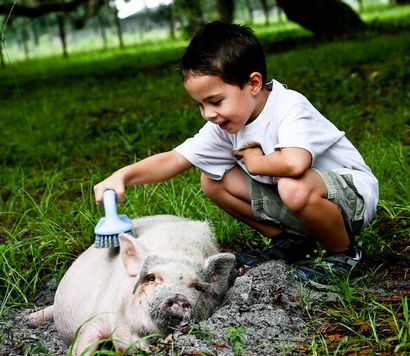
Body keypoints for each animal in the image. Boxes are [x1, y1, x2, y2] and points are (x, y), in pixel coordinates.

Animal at [28, 214, 234, 354]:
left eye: (197, 287)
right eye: (151, 278)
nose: (178, 297)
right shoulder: (100, 312)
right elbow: (86, 341)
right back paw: (29, 320)